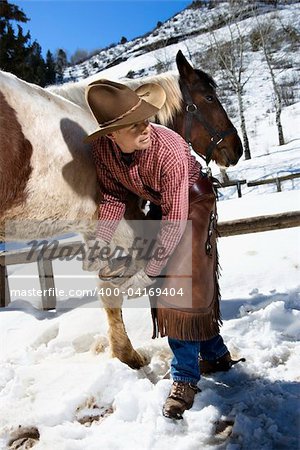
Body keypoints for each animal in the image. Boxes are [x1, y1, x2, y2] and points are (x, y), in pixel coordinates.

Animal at [0, 51, 243, 370]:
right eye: (210, 97)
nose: (237, 147)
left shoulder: (96, 229)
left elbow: (108, 287)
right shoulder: (125, 222)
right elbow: (117, 287)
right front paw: (128, 354)